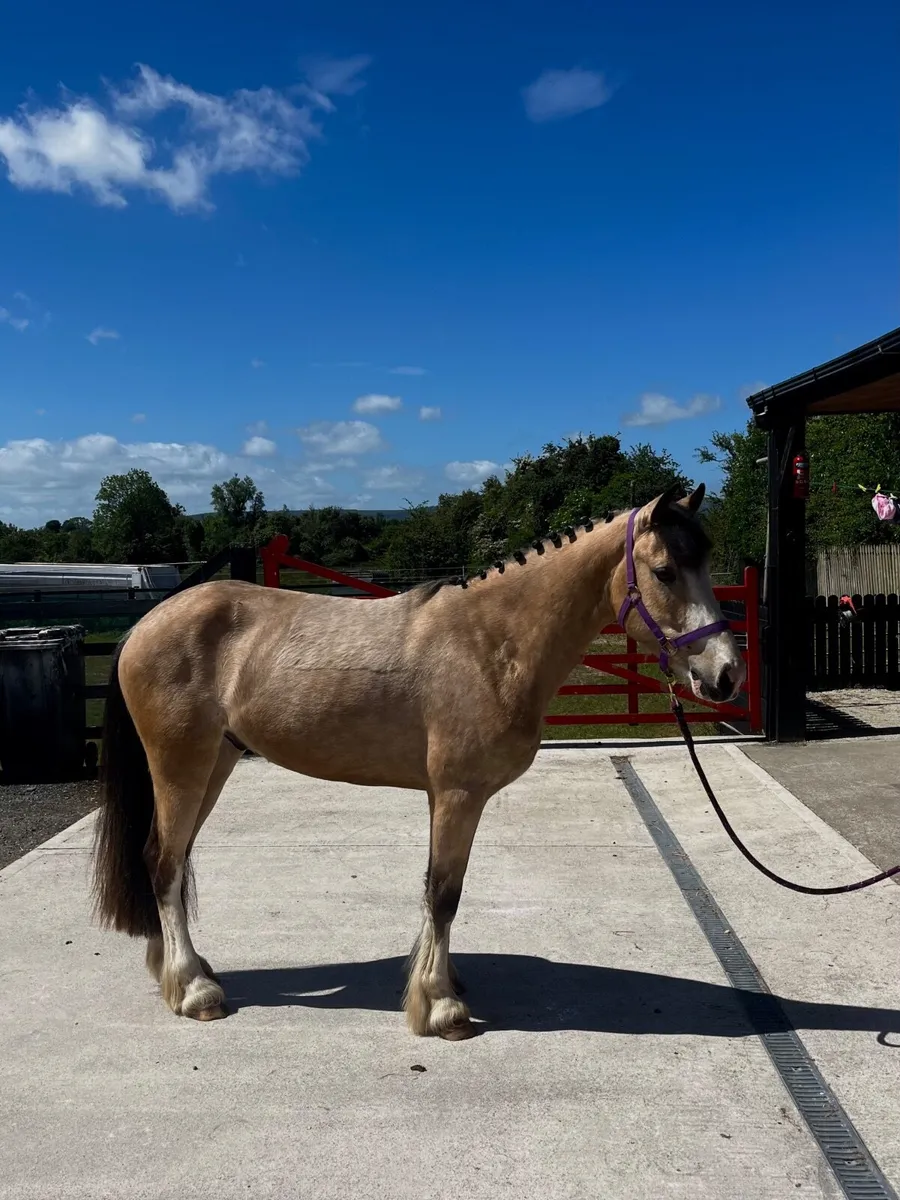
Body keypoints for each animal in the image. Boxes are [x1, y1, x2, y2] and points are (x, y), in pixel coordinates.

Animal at [90, 483, 745, 1040]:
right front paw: (440, 1006)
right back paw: (194, 990)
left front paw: (443, 982)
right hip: (182, 765)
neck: (490, 642)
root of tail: (144, 625)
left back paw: (183, 971)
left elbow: (440, 891)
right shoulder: (457, 794)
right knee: (163, 862)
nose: (724, 675)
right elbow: (443, 893)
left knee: (171, 860)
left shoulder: (449, 798)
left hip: (214, 766)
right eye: (664, 571)